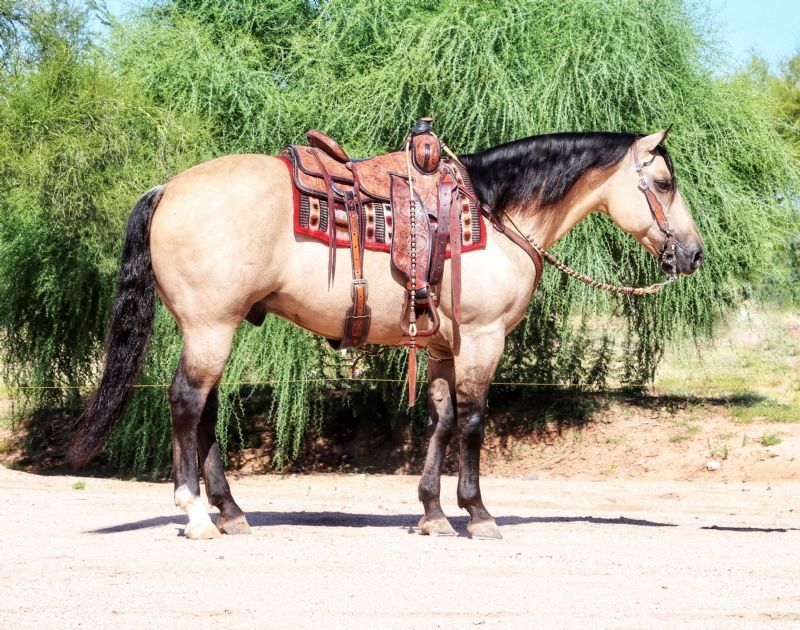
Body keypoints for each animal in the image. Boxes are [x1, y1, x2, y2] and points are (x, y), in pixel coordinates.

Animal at [72, 128, 703, 540]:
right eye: (663, 183)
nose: (694, 254)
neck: (494, 214)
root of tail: (169, 189)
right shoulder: (483, 339)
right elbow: (473, 421)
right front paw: (478, 514)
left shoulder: (445, 347)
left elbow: (443, 420)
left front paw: (433, 514)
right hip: (210, 327)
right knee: (186, 404)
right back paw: (198, 516)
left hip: (215, 329)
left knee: (205, 412)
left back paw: (231, 512)